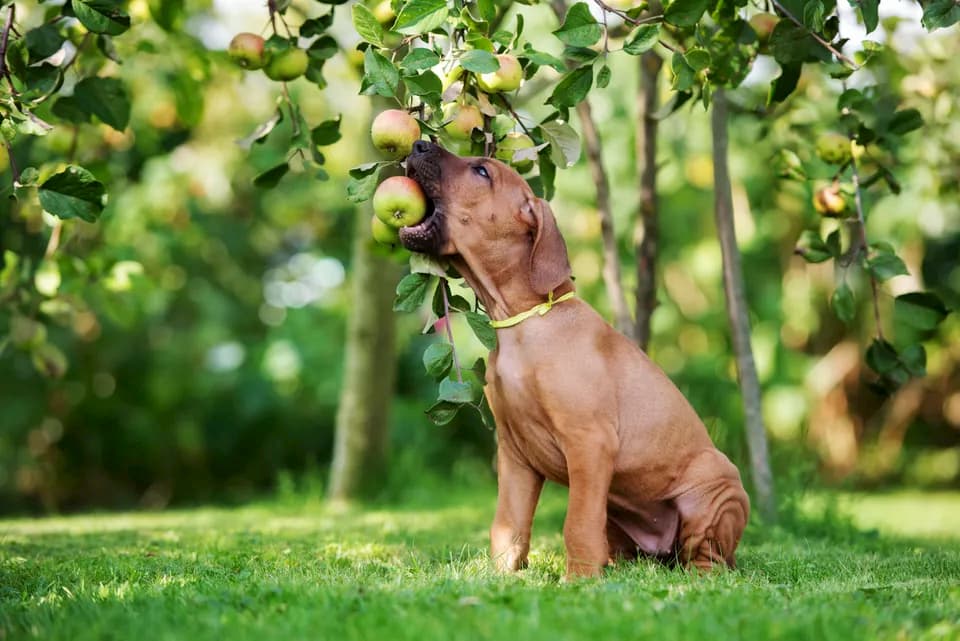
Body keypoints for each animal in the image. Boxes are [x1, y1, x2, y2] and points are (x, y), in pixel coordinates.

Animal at [398, 142, 752, 576]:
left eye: (482, 171)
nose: (418, 144)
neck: (524, 323)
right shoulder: (514, 454)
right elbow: (508, 525)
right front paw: (500, 575)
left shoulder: (589, 443)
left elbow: (577, 522)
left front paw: (579, 579)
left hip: (714, 491)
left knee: (708, 556)